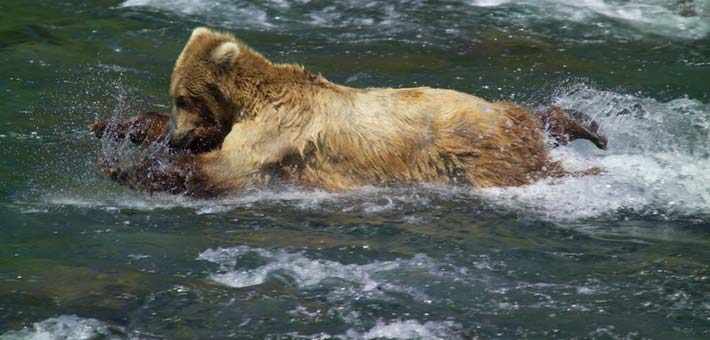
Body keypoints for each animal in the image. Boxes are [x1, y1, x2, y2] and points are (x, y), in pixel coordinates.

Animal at [93, 27, 608, 198]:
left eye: (183, 97)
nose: (177, 137)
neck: (253, 98)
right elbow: (215, 146)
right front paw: (115, 127)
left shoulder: (278, 129)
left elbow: (228, 167)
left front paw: (125, 168)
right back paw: (589, 127)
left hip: (479, 145)